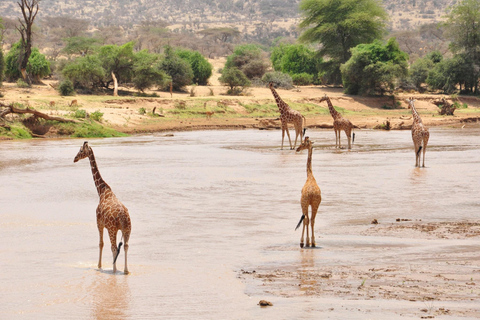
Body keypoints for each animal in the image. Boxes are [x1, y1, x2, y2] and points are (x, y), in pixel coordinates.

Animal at [73, 142, 130, 276]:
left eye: (81, 150)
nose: (74, 158)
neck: (102, 191)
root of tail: (123, 217)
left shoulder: (99, 223)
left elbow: (101, 244)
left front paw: (99, 265)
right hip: (127, 229)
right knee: (125, 246)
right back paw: (125, 270)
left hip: (112, 229)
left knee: (114, 247)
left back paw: (114, 270)